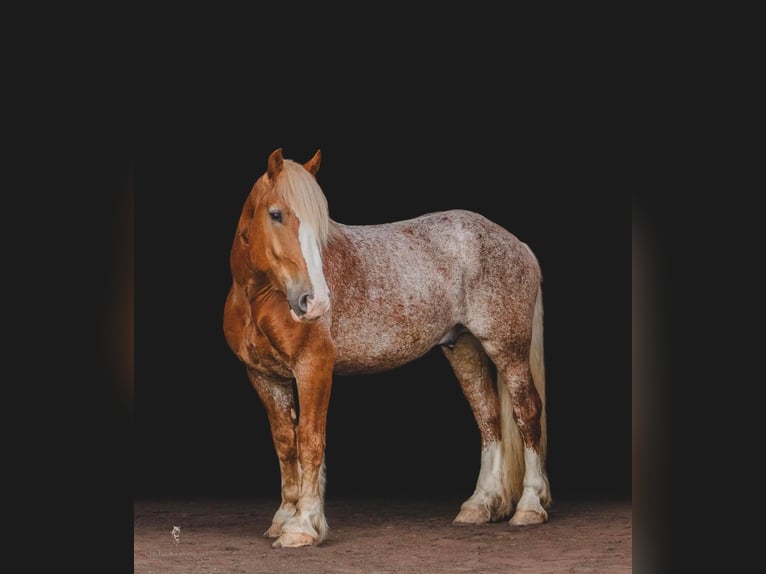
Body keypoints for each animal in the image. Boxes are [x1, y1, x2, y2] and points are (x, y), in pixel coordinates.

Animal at [222, 148, 552, 548]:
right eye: (275, 214)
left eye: (320, 224)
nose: (315, 302)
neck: (258, 297)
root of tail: (517, 244)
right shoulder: (264, 377)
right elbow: (286, 444)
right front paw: (283, 517)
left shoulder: (313, 367)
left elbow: (310, 441)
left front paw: (302, 526)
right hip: (464, 348)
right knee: (488, 418)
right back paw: (479, 505)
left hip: (508, 348)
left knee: (526, 413)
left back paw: (529, 506)